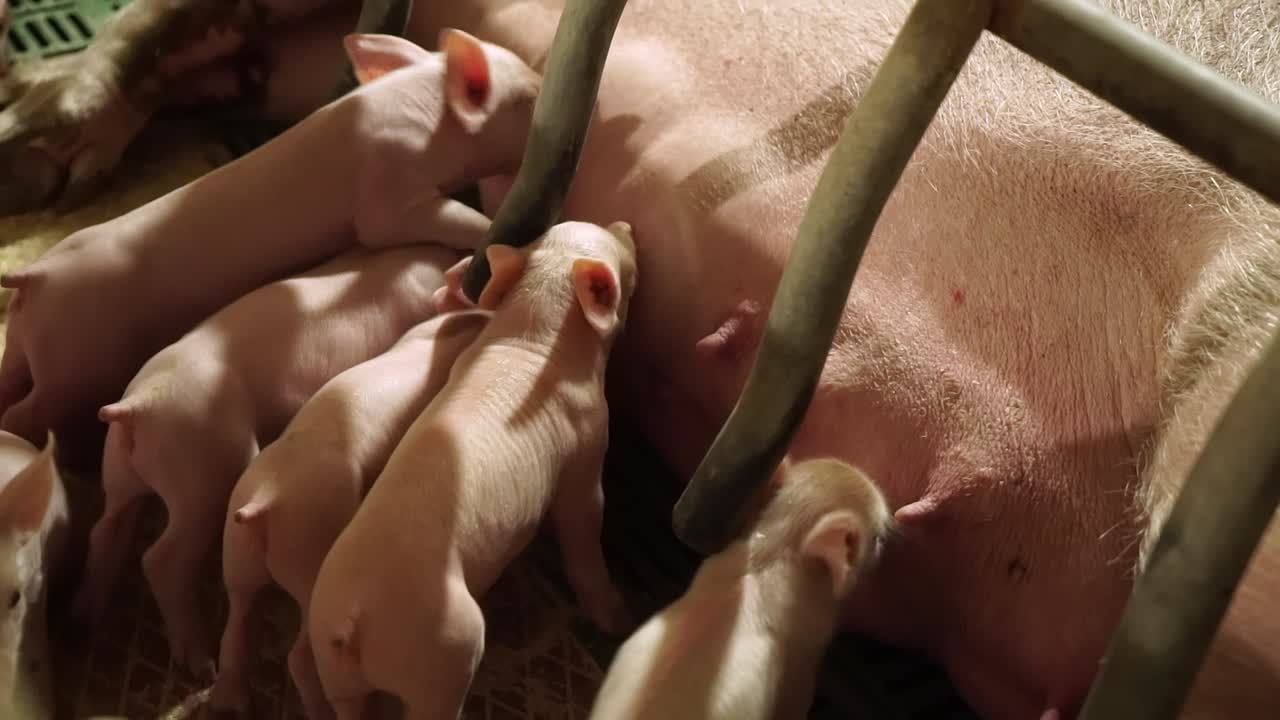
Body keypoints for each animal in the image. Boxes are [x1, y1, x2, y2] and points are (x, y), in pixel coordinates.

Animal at [0, 27, 539, 466]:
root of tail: (33, 276)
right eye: (531, 98)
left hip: (30, 346)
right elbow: (420, 223)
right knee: (32, 408)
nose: (541, 82)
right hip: (76, 361)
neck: (425, 113)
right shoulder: (388, 191)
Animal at [71, 243, 462, 674]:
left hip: (119, 470)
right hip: (203, 476)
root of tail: (137, 406)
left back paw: (86, 614)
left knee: (106, 527)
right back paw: (199, 661)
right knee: (161, 558)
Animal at [211, 308, 491, 719]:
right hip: (310, 561)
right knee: (298, 658)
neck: (435, 342)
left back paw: (233, 700)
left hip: (236, 553)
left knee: (237, 614)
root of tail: (265, 499)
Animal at [307, 220, 637, 720]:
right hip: (445, 653)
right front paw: (618, 618)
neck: (533, 336)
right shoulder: (586, 449)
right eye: (623, 261)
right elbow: (583, 526)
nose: (625, 225)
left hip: (335, 671)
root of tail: (352, 618)